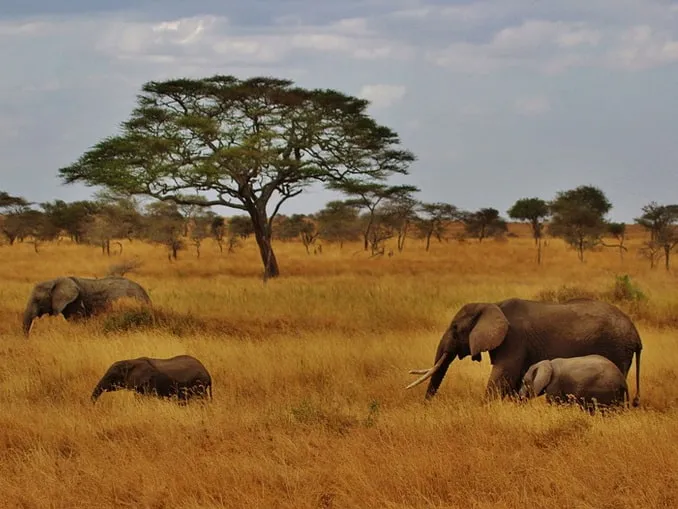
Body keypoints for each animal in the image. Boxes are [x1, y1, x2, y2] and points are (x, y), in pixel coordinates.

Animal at [406, 298, 644, 404]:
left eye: (455, 329)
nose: (426, 405)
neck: (492, 305)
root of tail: (636, 334)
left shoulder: (514, 340)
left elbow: (502, 377)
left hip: (617, 348)